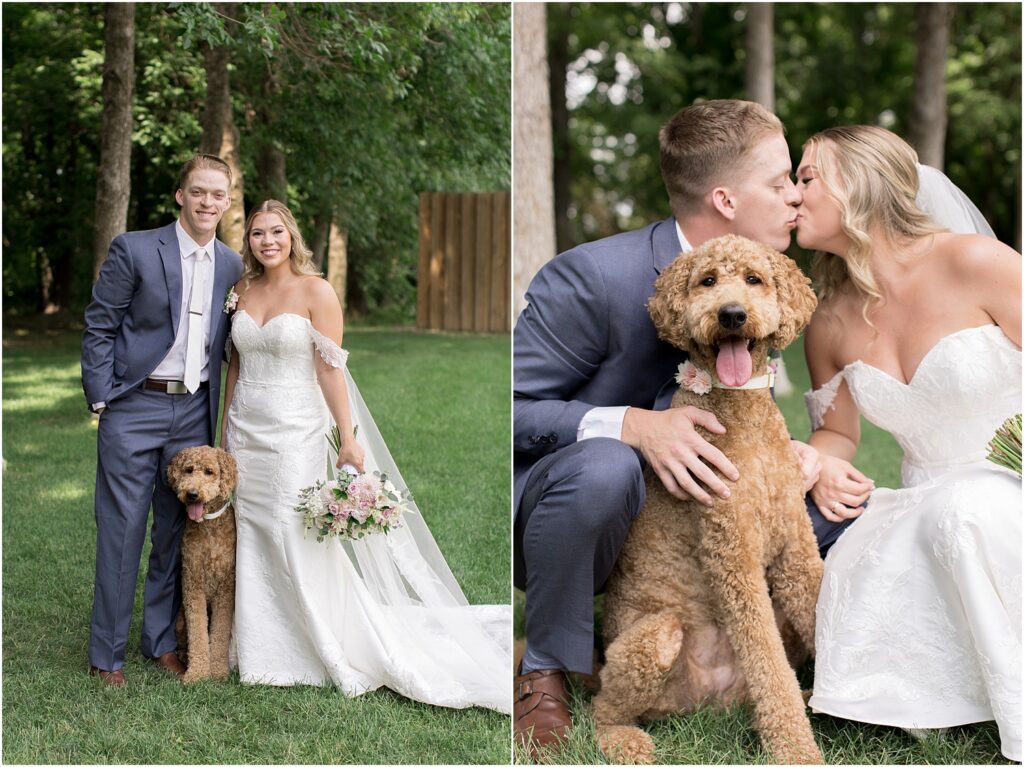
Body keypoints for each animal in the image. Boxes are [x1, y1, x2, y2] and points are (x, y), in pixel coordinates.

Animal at [166, 442, 236, 684]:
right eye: (188, 470)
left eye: (209, 471)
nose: (192, 494)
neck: (209, 528)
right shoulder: (192, 582)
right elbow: (197, 632)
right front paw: (197, 673)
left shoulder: (226, 588)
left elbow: (220, 632)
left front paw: (218, 670)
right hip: (179, 619)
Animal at [598, 236, 827, 761]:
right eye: (707, 281)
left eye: (753, 279)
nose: (732, 314)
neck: (742, 414)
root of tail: (701, 705)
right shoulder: (732, 553)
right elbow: (768, 661)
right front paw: (796, 751)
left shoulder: (795, 546)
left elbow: (823, 612)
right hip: (653, 639)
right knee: (602, 708)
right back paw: (625, 741)